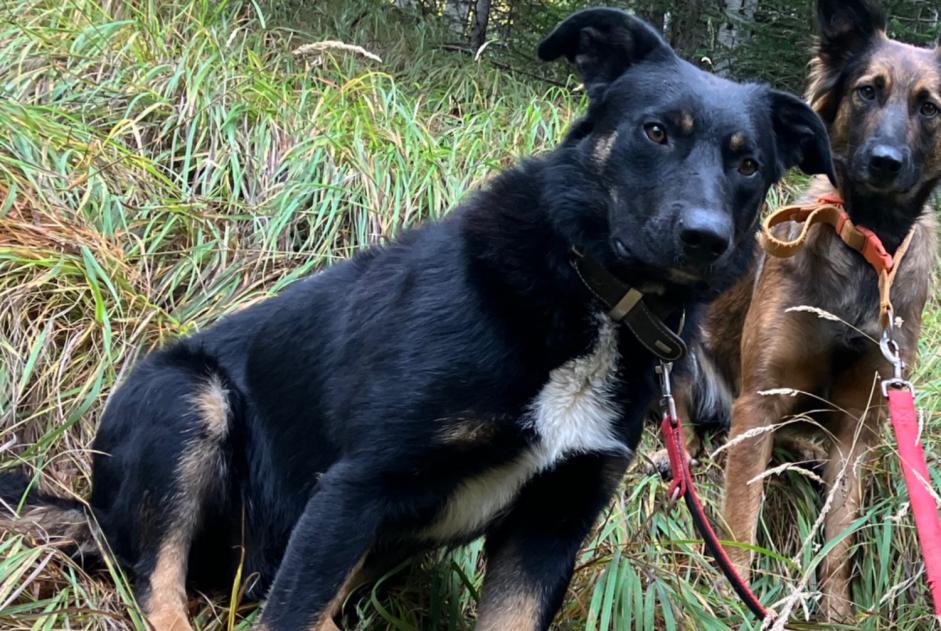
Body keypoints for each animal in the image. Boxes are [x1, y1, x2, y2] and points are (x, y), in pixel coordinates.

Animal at [0, 9, 828, 631]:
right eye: (656, 131)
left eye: (748, 164)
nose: (704, 238)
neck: (592, 298)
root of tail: (94, 506)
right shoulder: (354, 486)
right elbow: (290, 608)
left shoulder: (548, 525)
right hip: (190, 402)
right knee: (156, 582)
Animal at [664, 0, 936, 624]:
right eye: (867, 91)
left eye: (930, 106)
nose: (884, 162)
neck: (868, 251)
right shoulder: (760, 397)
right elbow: (739, 521)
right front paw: (732, 601)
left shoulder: (862, 420)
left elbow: (839, 537)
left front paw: (836, 613)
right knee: (683, 419)